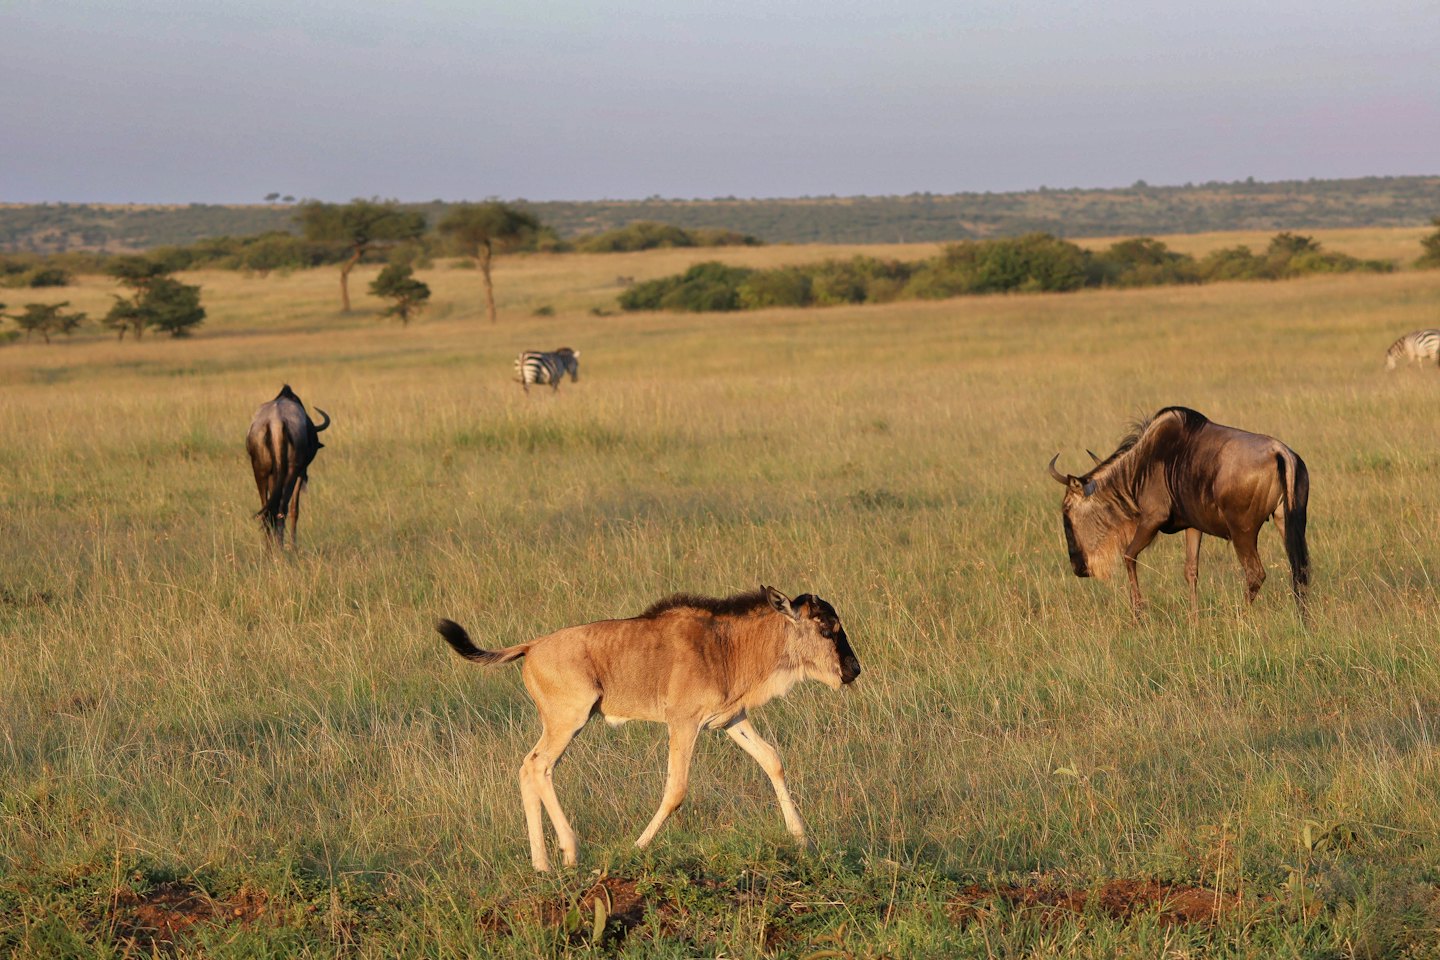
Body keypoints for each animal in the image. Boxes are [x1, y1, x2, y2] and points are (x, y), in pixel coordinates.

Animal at [245, 385, 330, 549]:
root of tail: (275, 422)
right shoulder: (300, 472)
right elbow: (294, 509)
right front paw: (293, 547)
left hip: (260, 472)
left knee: (267, 509)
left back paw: (269, 549)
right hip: (291, 472)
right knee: (282, 508)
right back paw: (281, 548)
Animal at [436, 585, 861, 872]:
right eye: (826, 629)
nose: (853, 670)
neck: (726, 646)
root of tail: (531, 646)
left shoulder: (730, 720)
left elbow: (772, 760)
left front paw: (801, 837)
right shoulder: (683, 724)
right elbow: (676, 789)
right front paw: (638, 846)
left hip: (564, 724)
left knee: (530, 769)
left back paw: (541, 863)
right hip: (569, 720)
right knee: (537, 766)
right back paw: (570, 851)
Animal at [1047, 406, 1309, 615]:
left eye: (1066, 510)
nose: (1078, 568)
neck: (1138, 469)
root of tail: (1280, 452)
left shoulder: (1152, 520)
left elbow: (1129, 556)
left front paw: (1137, 615)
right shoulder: (1193, 526)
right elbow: (1191, 570)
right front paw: (1194, 619)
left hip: (1242, 531)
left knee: (1256, 574)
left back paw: (1239, 617)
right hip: (1289, 522)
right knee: (1300, 570)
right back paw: (1304, 621)